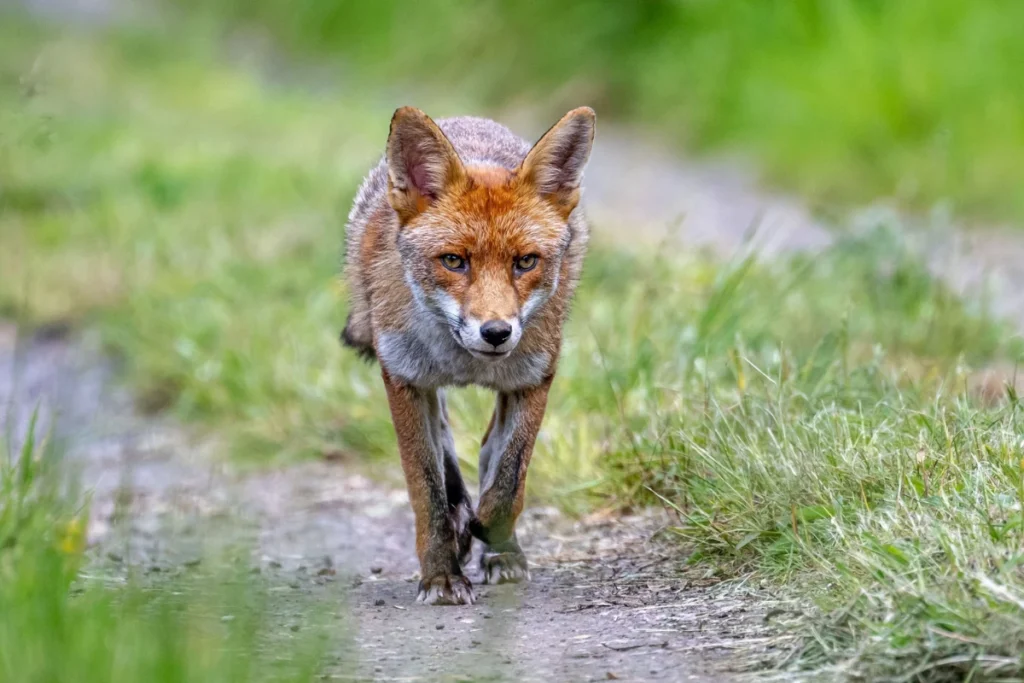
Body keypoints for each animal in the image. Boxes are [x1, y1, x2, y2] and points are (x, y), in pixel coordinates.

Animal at [341, 106, 596, 605]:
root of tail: (469, 119)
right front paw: (442, 574)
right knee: (448, 451)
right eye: (454, 261)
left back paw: (497, 550)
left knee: (484, 450)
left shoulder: (533, 378)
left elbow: (508, 483)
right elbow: (428, 491)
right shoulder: (404, 379)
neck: (465, 363)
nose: (496, 332)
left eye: (525, 262)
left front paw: (489, 535)